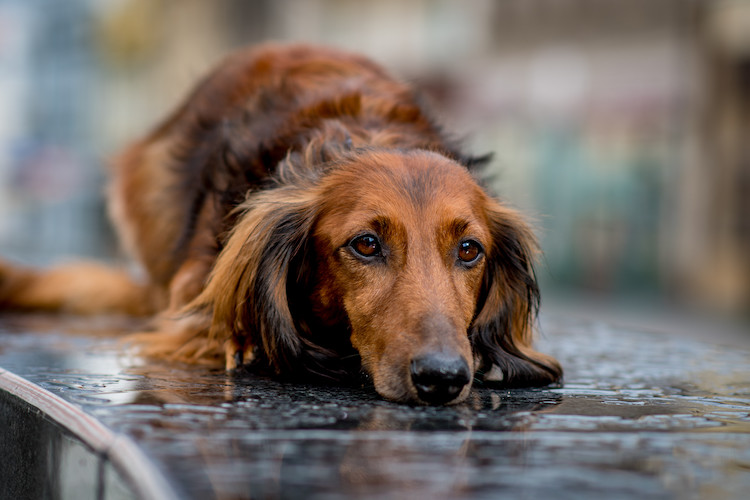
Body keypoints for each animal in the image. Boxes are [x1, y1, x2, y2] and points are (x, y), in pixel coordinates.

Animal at [0, 44, 564, 406]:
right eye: (366, 244)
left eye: (469, 250)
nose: (442, 378)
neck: (363, 133)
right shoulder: (190, 299)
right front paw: (247, 343)